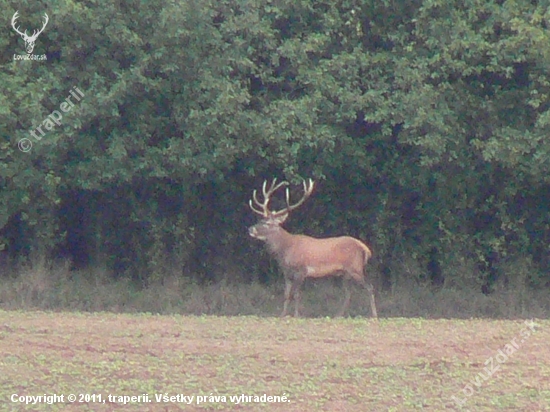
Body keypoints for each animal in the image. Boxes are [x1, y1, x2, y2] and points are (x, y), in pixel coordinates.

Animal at [250, 178, 380, 318]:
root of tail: (365, 249)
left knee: (369, 287)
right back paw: (338, 315)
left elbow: (296, 295)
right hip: (346, 273)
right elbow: (286, 295)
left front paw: (297, 315)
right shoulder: (286, 273)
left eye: (268, 223)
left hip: (355, 268)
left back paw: (374, 315)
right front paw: (282, 315)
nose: (250, 229)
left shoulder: (301, 270)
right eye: (260, 219)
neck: (285, 250)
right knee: (349, 293)